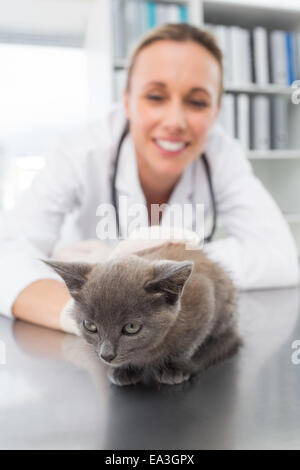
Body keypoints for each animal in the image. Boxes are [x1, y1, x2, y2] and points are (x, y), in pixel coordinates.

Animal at [43, 242, 243, 386]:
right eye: (90, 325)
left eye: (131, 328)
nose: (106, 355)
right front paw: (126, 369)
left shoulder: (204, 297)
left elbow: (190, 343)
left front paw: (174, 367)